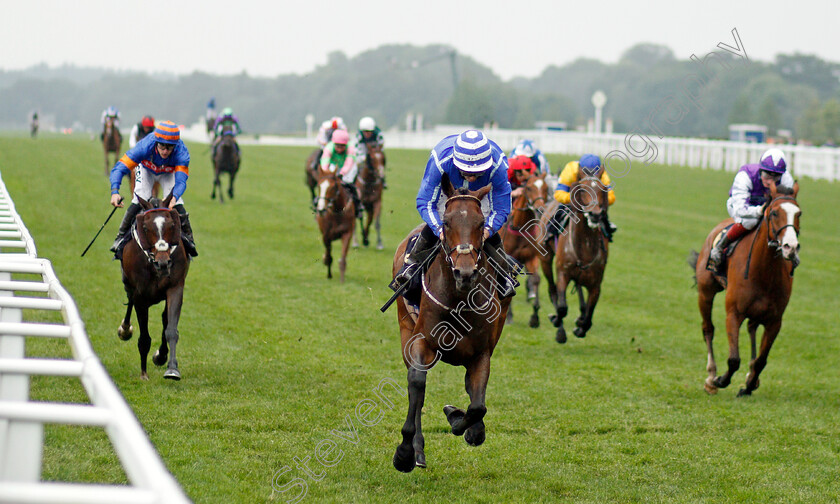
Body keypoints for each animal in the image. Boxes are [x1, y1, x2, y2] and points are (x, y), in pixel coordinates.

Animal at [116, 195, 190, 380]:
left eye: (172, 225)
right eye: (145, 227)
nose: (162, 262)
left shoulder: (175, 288)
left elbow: (171, 329)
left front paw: (171, 368)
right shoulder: (140, 296)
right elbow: (144, 338)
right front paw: (143, 374)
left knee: (164, 318)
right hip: (129, 284)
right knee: (129, 302)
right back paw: (125, 329)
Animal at [388, 176, 512, 472]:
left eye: (481, 222)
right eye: (446, 222)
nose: (464, 272)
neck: (459, 298)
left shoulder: (482, 352)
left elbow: (477, 406)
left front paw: (460, 420)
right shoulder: (421, 341)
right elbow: (417, 384)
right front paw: (405, 453)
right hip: (404, 327)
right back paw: (417, 451)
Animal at [498, 175, 552, 328]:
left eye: (545, 187)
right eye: (528, 188)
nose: (540, 209)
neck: (520, 228)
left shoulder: (531, 258)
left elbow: (536, 279)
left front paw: (535, 316)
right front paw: (509, 317)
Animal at [540, 167, 612, 344]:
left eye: (602, 189)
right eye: (582, 189)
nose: (595, 215)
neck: (585, 246)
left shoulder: (596, 284)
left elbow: (589, 317)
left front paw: (580, 325)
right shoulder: (563, 274)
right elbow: (562, 307)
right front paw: (557, 322)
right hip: (545, 259)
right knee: (552, 289)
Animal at [692, 181, 804, 398]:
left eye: (799, 213)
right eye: (774, 213)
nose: (791, 247)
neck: (764, 272)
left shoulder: (775, 320)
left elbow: (761, 360)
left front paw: (748, 385)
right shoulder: (733, 313)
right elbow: (734, 359)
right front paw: (720, 380)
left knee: (752, 327)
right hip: (705, 292)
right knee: (708, 329)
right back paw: (711, 377)